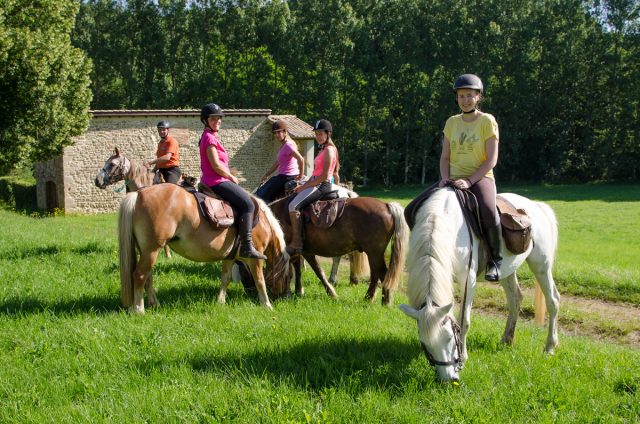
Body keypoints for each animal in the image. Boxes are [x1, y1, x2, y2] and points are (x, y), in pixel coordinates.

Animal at [117, 184, 290, 314]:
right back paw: (138, 309)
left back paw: (154, 303)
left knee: (147, 277)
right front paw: (267, 304)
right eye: (288, 277)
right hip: (152, 250)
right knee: (140, 275)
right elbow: (260, 280)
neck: (263, 222)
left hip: (147, 251)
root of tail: (138, 194)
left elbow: (225, 278)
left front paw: (220, 301)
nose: (283, 297)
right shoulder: (255, 258)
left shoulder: (229, 257)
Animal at [266, 195, 408, 304]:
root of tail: (386, 205)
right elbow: (297, 271)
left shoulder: (305, 252)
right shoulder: (299, 253)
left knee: (382, 273)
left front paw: (331, 293)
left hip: (374, 253)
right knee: (376, 274)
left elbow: (317, 271)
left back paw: (383, 301)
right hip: (373, 254)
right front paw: (297, 291)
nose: (273, 296)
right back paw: (370, 298)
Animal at [400, 187, 560, 382]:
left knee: (553, 301)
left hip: (541, 266)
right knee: (515, 298)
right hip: (507, 270)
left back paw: (549, 346)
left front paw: (464, 355)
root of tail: (537, 206)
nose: (448, 379)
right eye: (425, 344)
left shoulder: (468, 280)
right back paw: (507, 340)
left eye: (449, 338)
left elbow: (464, 321)